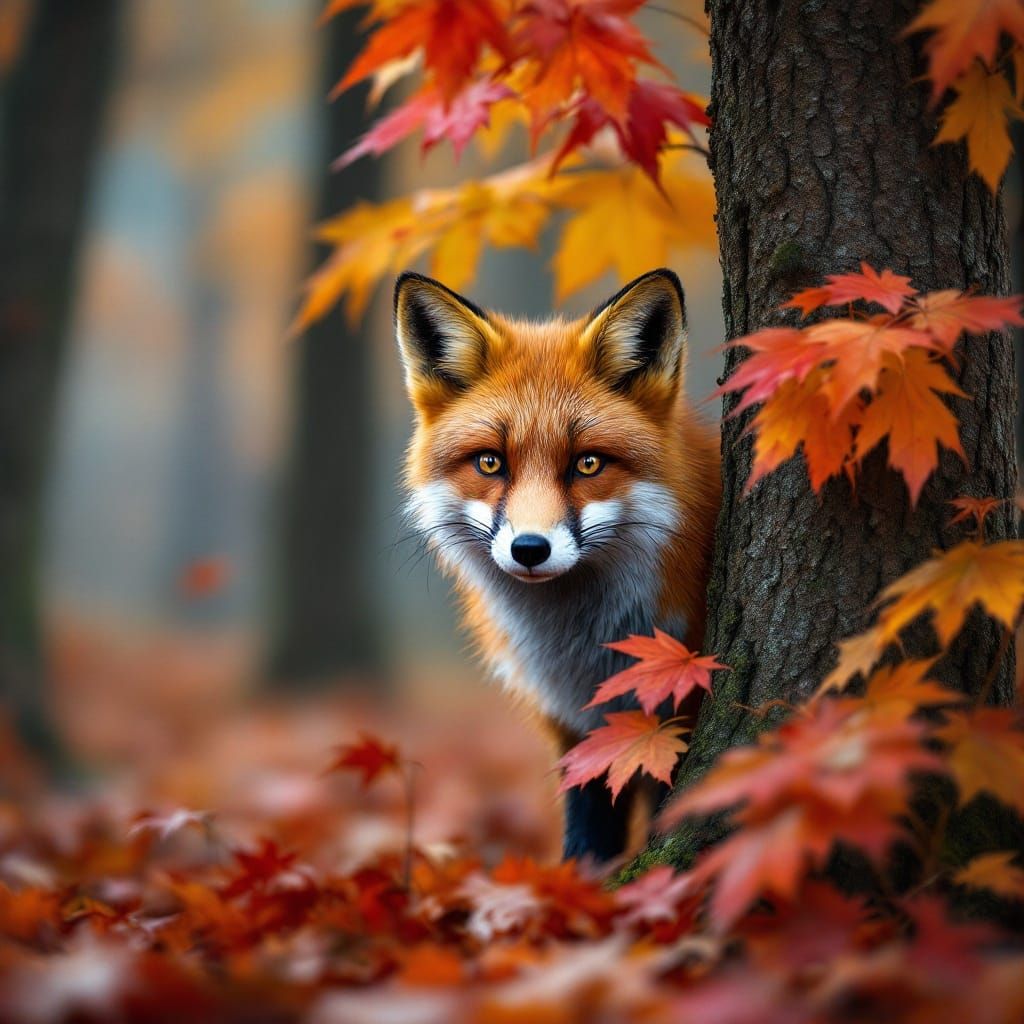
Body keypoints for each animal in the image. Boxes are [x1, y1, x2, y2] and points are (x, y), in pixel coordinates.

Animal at [395, 267, 721, 862]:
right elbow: (586, 838)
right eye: (490, 462)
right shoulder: (576, 729)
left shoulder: (674, 718)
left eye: (587, 463)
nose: (530, 548)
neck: (589, 651)